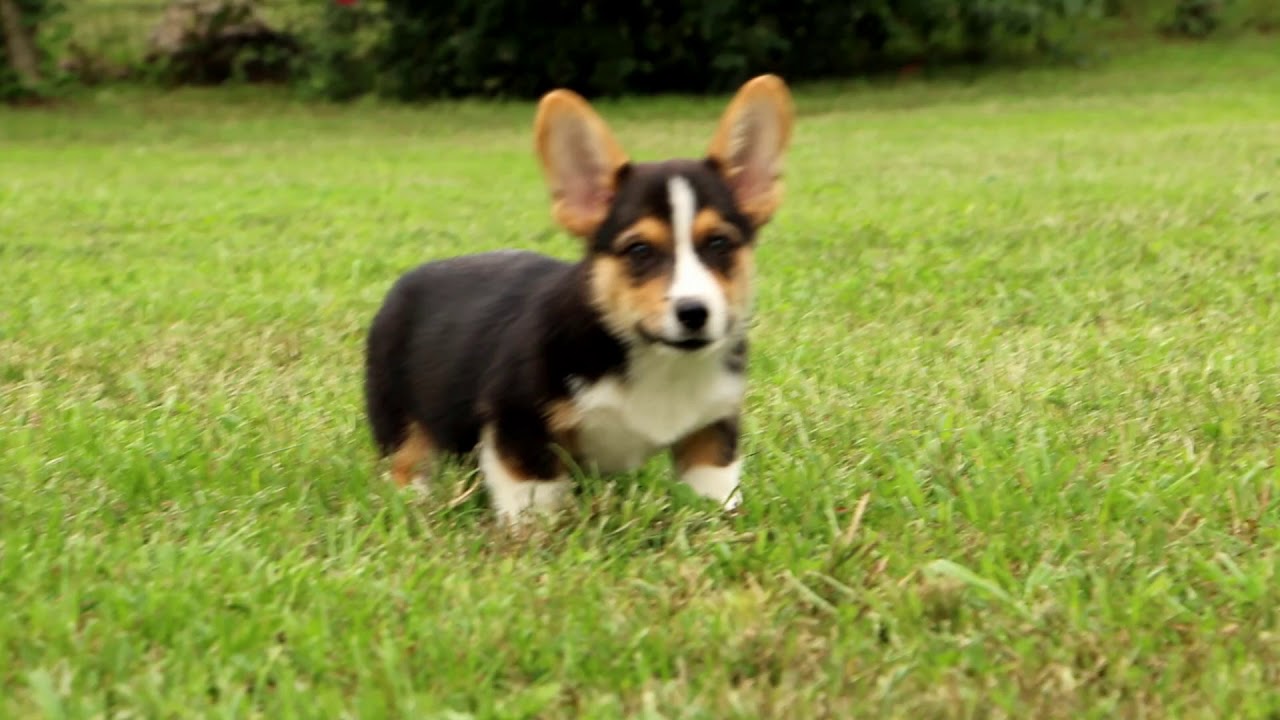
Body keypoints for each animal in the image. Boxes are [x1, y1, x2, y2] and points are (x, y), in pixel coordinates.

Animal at [366, 74, 793, 520]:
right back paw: (416, 499)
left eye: (719, 243)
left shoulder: (711, 433)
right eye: (639, 250)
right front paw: (536, 533)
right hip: (398, 416)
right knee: (408, 459)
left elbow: (714, 492)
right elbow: (533, 499)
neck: (652, 359)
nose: (694, 312)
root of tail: (411, 278)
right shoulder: (519, 423)